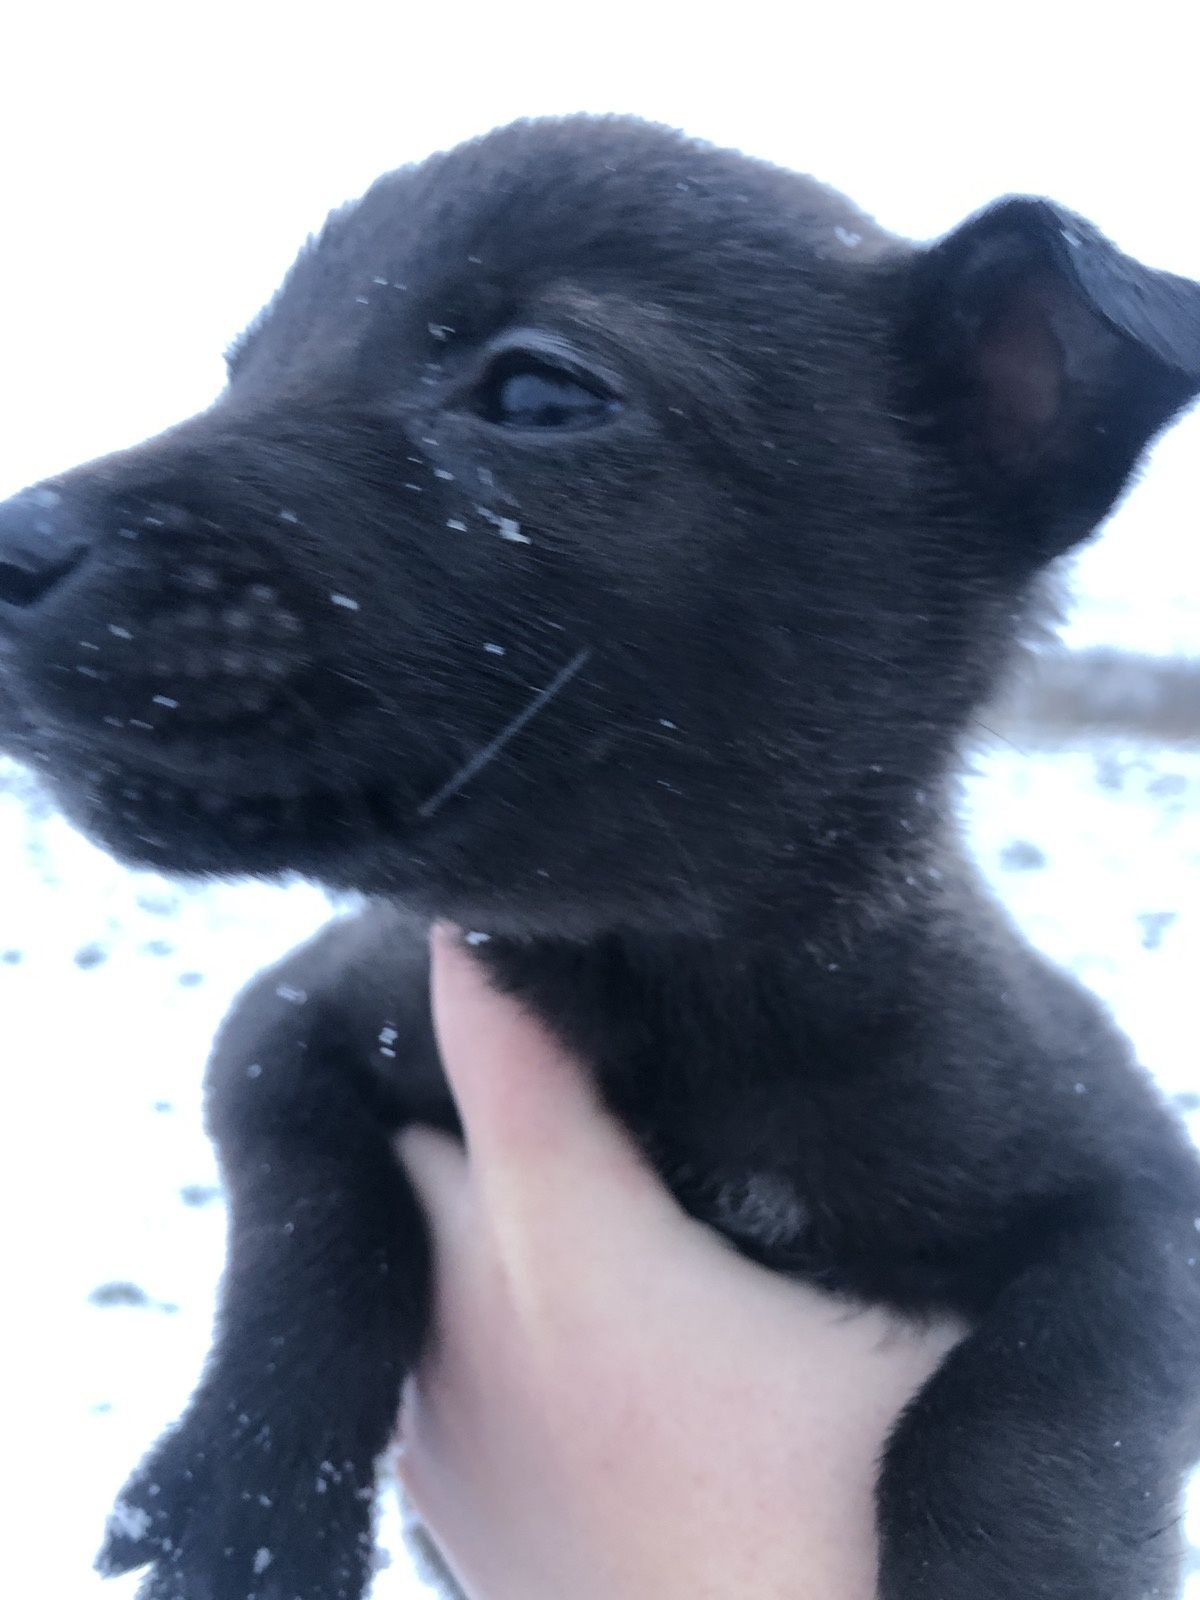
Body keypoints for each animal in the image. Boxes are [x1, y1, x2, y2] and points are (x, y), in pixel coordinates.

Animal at [2, 118, 1200, 1593]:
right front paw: (254, 1507)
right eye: (248, 370)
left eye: (538, 391)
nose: (10, 548)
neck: (659, 987)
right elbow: (315, 1225)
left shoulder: (1138, 1176)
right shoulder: (298, 1015)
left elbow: (1034, 1403)